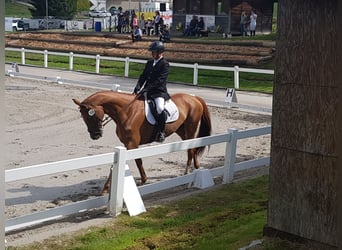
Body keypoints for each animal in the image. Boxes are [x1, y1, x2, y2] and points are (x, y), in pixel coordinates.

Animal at [73, 90, 211, 193]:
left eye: (90, 115)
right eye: (83, 116)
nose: (95, 135)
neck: (126, 111)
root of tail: (194, 97)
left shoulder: (131, 144)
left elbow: (131, 163)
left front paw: (107, 189)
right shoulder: (127, 144)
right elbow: (133, 162)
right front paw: (143, 180)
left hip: (190, 128)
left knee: (192, 148)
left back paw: (193, 172)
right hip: (182, 131)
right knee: (191, 149)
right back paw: (190, 172)